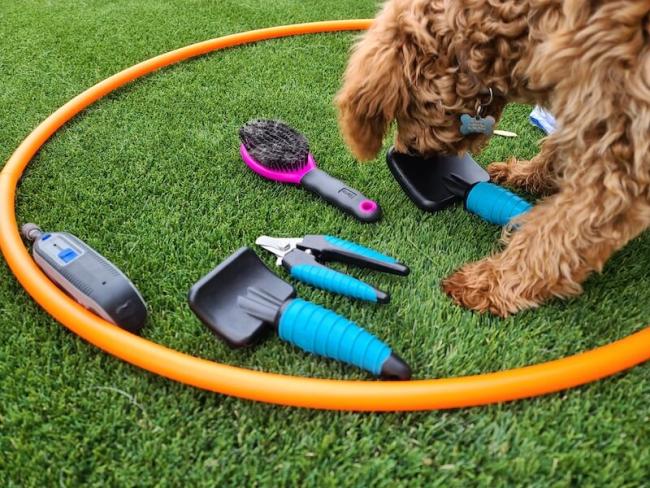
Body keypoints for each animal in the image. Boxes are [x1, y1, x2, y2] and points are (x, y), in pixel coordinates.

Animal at [336, 0, 644, 316]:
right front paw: (524, 175)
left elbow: (555, 237)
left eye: (402, 110)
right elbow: (555, 153)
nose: (406, 156)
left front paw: (491, 282)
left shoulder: (618, 162)